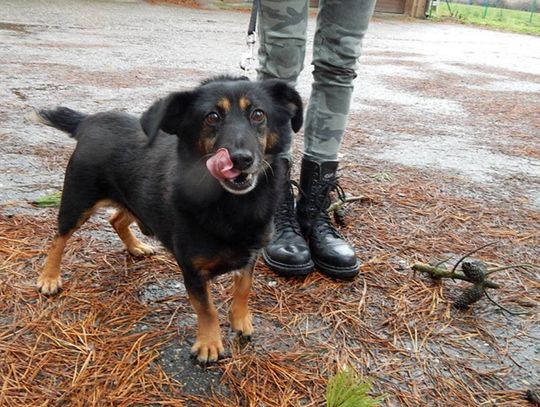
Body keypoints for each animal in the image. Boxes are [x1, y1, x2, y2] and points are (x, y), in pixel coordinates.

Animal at [35, 76, 302, 364]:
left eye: (258, 114)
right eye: (212, 117)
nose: (240, 159)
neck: (233, 205)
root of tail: (89, 120)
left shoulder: (250, 254)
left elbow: (244, 287)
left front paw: (240, 320)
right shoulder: (192, 270)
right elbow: (207, 308)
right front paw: (209, 343)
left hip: (133, 199)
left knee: (116, 219)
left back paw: (135, 246)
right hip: (78, 199)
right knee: (59, 237)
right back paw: (49, 277)